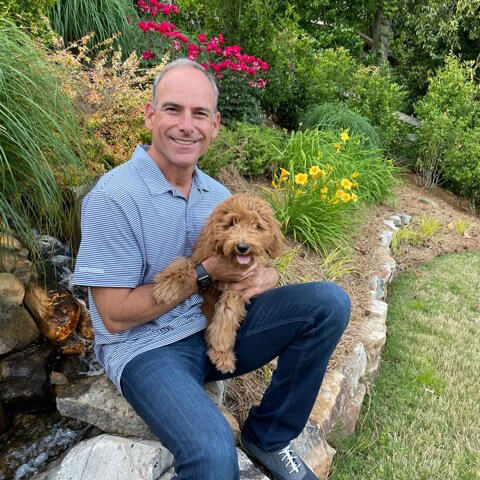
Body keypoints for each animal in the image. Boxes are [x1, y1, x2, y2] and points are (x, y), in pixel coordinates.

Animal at [152, 193, 284, 374]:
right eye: (231, 223)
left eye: (256, 225)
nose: (242, 246)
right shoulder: (200, 259)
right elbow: (183, 264)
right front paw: (167, 286)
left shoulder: (237, 289)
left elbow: (227, 315)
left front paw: (222, 354)